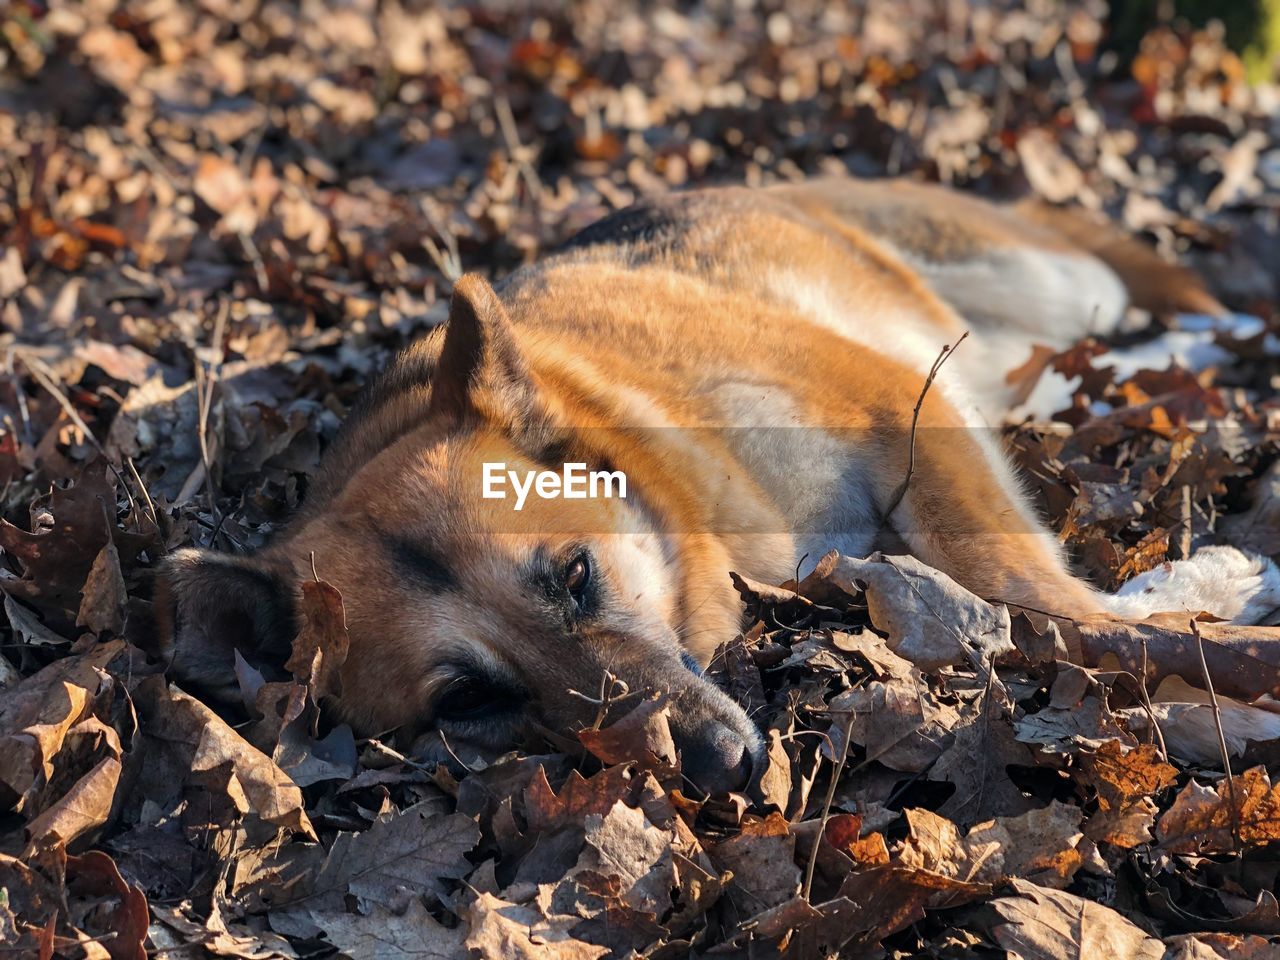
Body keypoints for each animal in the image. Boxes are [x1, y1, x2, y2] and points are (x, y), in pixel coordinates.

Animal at [157, 180, 1280, 798]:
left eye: (575, 576)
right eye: (469, 702)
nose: (717, 768)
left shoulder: (901, 415)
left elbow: (1043, 600)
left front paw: (1214, 638)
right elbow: (1046, 622)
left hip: (1039, 288)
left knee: (1150, 303)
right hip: (1020, 362)